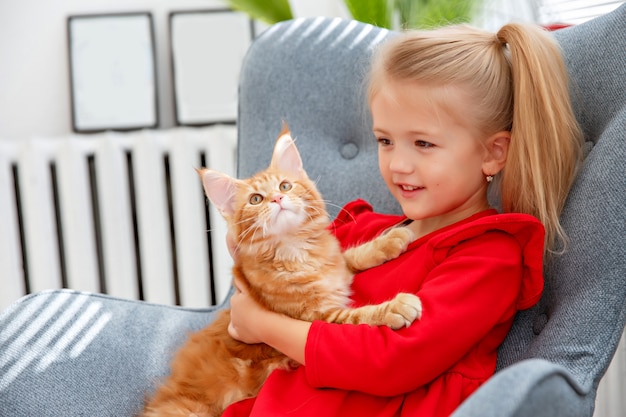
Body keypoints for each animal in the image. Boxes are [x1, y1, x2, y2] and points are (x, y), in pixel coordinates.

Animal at [141, 126, 420, 416]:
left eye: (285, 186)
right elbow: (357, 316)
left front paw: (392, 239)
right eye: (255, 199)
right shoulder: (314, 318)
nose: (277, 198)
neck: (296, 252)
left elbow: (352, 254)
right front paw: (396, 307)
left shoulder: (336, 265)